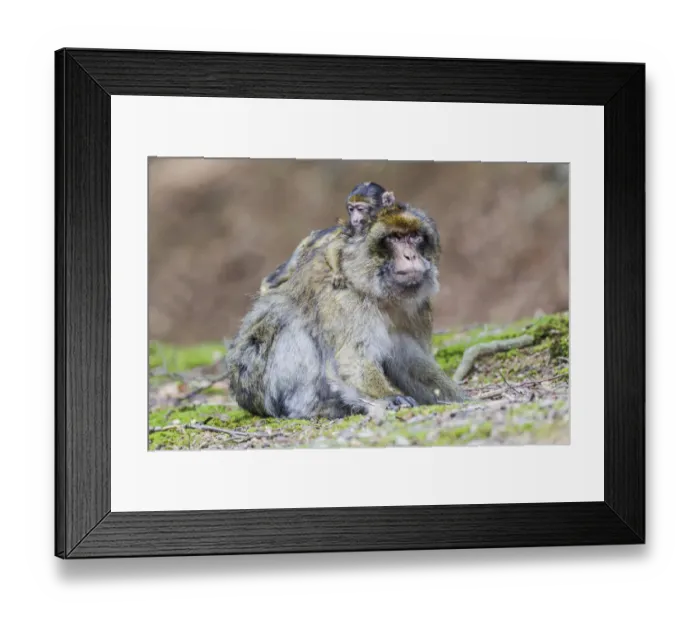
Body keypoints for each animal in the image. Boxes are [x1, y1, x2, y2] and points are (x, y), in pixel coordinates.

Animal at [226, 203, 466, 420]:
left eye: (415, 237)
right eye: (395, 238)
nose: (411, 256)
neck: (378, 292)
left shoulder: (416, 308)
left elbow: (409, 358)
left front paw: (457, 397)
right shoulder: (345, 299)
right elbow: (353, 357)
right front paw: (388, 397)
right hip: (255, 382)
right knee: (287, 322)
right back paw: (310, 408)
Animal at [259, 181, 402, 295]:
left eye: (360, 209)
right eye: (351, 209)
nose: (355, 219)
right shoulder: (351, 231)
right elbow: (332, 247)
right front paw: (338, 273)